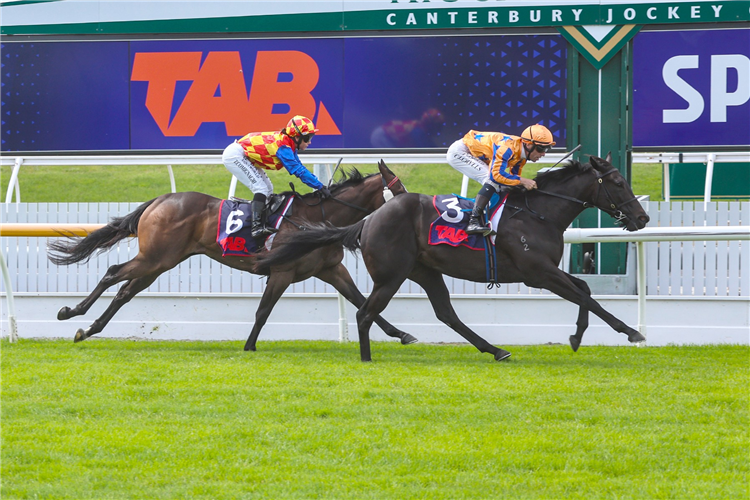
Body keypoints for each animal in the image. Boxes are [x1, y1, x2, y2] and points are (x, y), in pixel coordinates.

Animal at [48, 162, 418, 350]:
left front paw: (402, 334)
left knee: (125, 291)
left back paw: (90, 329)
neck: (317, 218)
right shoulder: (281, 273)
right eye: (399, 190)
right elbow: (262, 312)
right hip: (155, 258)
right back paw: (71, 313)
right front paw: (249, 346)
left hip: (160, 262)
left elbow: (361, 301)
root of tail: (159, 199)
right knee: (113, 271)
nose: (415, 208)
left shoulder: (331, 269)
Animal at [258, 154, 652, 362]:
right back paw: (367, 357)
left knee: (446, 313)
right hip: (392, 275)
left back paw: (495, 350)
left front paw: (577, 336)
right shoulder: (538, 272)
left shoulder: (546, 270)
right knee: (364, 312)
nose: (643, 218)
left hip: (425, 271)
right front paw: (632, 331)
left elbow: (584, 288)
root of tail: (369, 219)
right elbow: (589, 297)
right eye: (618, 183)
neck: (539, 212)